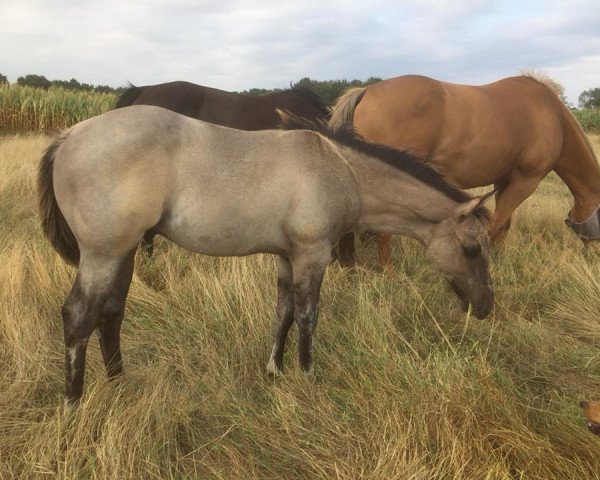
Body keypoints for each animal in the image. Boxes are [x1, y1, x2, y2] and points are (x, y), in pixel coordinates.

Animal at [39, 106, 494, 404]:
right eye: (472, 248)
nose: (486, 306)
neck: (341, 170)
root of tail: (69, 135)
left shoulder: (286, 257)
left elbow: (283, 312)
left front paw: (274, 370)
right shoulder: (312, 255)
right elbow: (308, 315)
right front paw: (308, 376)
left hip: (125, 253)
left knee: (110, 313)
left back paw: (120, 383)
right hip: (103, 254)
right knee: (78, 316)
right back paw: (74, 404)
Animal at [330, 73, 600, 272]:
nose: (594, 260)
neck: (554, 119)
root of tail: (366, 91)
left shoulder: (505, 182)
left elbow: (504, 225)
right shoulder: (526, 182)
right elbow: (495, 226)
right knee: (383, 232)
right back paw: (390, 274)